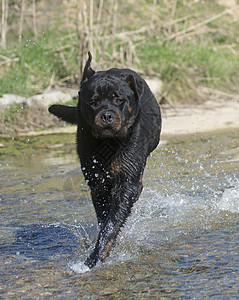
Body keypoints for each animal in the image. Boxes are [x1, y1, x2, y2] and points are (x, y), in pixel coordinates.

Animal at [48, 52, 162, 268]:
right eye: (93, 102)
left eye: (118, 100)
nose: (107, 115)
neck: (109, 143)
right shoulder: (96, 181)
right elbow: (104, 216)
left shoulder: (127, 180)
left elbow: (112, 222)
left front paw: (96, 256)